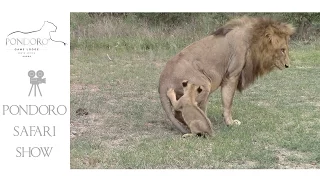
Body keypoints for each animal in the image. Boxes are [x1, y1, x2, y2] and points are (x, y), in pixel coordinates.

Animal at [159, 16, 296, 133]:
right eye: (283, 50)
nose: (287, 65)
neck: (252, 40)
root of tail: (162, 80)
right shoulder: (232, 75)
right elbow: (228, 101)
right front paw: (230, 122)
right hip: (203, 84)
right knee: (182, 111)